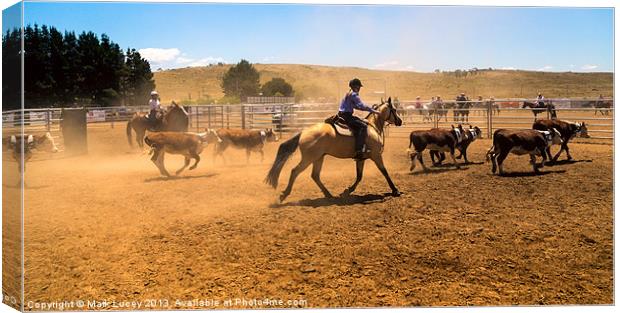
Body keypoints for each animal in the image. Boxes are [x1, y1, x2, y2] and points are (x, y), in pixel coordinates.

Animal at [266, 96, 402, 201]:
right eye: (394, 109)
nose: (400, 121)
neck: (372, 127)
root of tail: (303, 132)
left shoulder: (361, 159)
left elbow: (359, 176)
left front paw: (347, 191)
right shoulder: (376, 155)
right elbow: (384, 172)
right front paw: (395, 190)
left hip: (318, 158)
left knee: (315, 176)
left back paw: (328, 194)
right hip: (309, 158)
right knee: (295, 171)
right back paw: (284, 195)